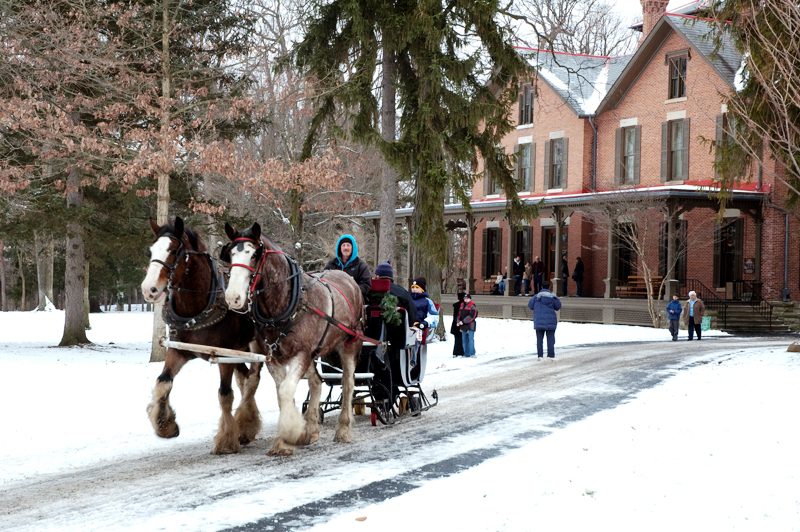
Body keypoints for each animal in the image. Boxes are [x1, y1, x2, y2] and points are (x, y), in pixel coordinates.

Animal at [139, 216, 260, 454]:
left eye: (173, 250)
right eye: (151, 251)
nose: (149, 289)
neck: (196, 309)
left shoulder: (224, 356)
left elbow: (225, 395)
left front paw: (226, 440)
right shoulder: (178, 351)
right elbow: (163, 382)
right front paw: (165, 424)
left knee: (252, 381)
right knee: (246, 381)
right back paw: (246, 425)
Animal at [223, 222, 364, 456]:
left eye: (254, 255)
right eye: (232, 254)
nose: (233, 297)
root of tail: (348, 278)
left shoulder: (302, 353)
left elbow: (286, 390)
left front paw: (291, 434)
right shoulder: (273, 357)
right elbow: (282, 393)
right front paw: (288, 439)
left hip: (349, 343)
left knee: (348, 383)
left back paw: (343, 429)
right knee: (317, 382)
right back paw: (312, 429)